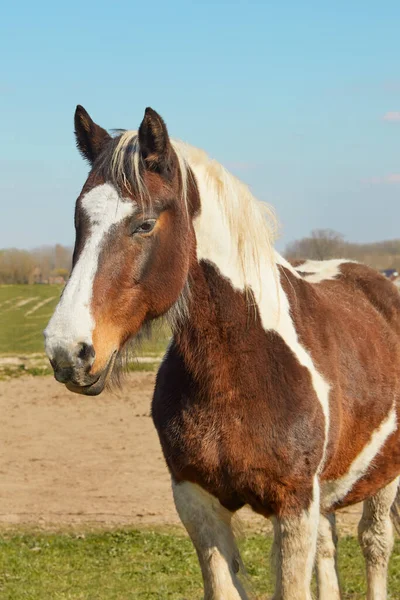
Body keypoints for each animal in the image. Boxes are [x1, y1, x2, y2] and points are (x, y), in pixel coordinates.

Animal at [44, 105, 400, 596]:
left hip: (383, 479)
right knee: (330, 550)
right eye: (80, 219)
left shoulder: (294, 509)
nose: (67, 351)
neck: (241, 370)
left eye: (145, 223)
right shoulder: (197, 503)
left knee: (374, 545)